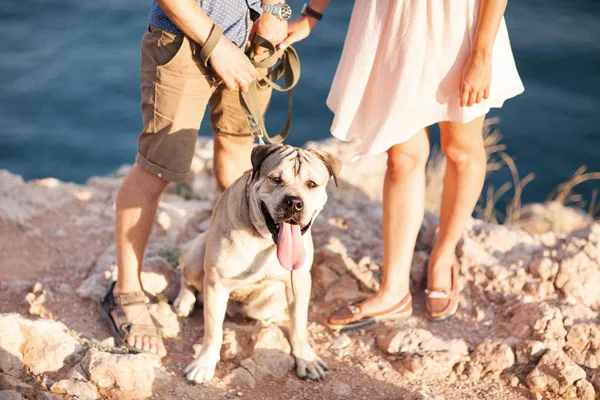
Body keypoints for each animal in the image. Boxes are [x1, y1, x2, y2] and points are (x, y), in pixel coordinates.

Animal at [173, 145, 342, 384]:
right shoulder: (216, 283)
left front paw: (306, 360)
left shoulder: (299, 282)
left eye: (311, 184)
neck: (263, 236)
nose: (294, 202)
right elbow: (213, 330)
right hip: (196, 255)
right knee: (184, 272)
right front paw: (204, 363)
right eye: (276, 179)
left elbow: (299, 325)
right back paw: (184, 300)